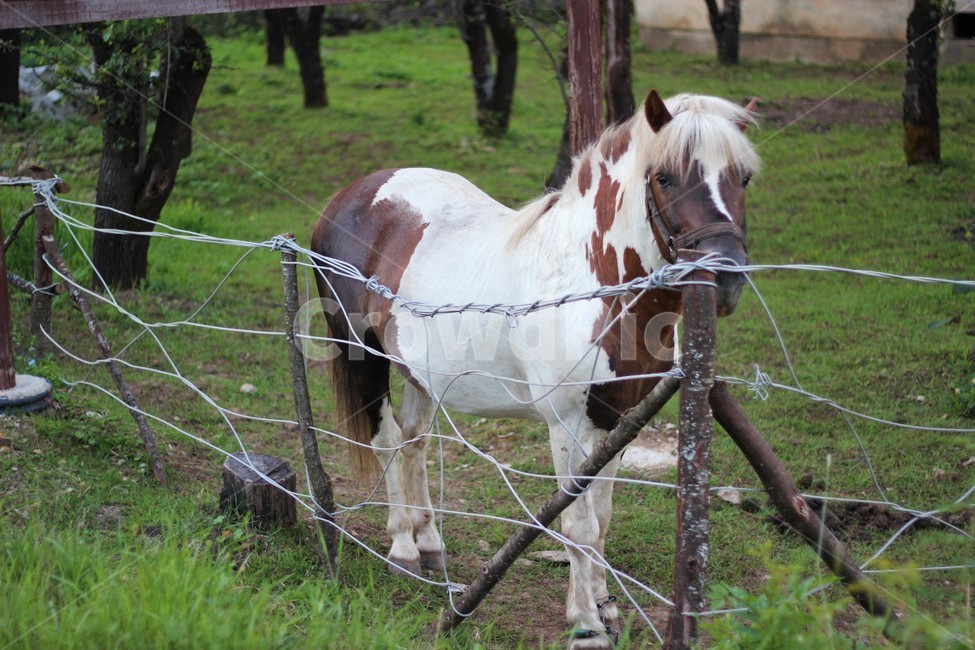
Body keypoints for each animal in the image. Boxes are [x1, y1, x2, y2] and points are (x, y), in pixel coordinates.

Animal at [311, 89, 760, 648]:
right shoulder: (565, 427)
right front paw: (585, 623)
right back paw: (403, 549)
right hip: (363, 354)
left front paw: (607, 607)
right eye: (665, 177)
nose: (726, 277)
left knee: (415, 441)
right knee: (387, 440)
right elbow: (577, 525)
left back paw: (430, 543)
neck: (591, 284)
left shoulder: (619, 422)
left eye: (743, 177)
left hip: (418, 372)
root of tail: (350, 196)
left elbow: (601, 518)